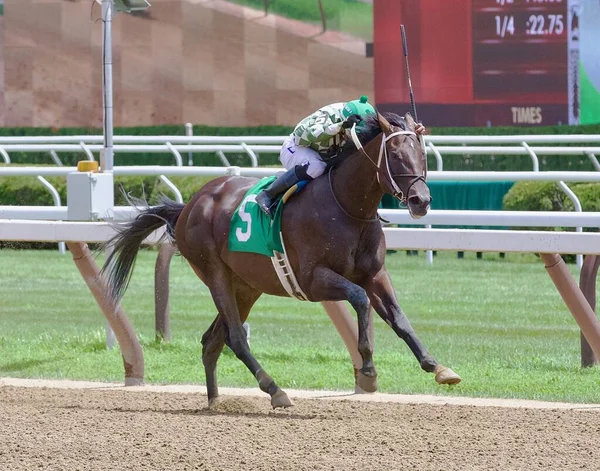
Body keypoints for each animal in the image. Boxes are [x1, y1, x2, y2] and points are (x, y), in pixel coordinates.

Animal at [102, 113, 460, 410]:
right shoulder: (313, 280)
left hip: (246, 285)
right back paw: (275, 390)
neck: (347, 205)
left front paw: (437, 366)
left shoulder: (375, 274)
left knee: (211, 341)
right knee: (235, 338)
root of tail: (190, 204)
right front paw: (368, 368)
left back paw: (215, 401)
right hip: (215, 273)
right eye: (397, 155)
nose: (421, 200)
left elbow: (399, 318)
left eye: (422, 155)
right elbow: (360, 299)